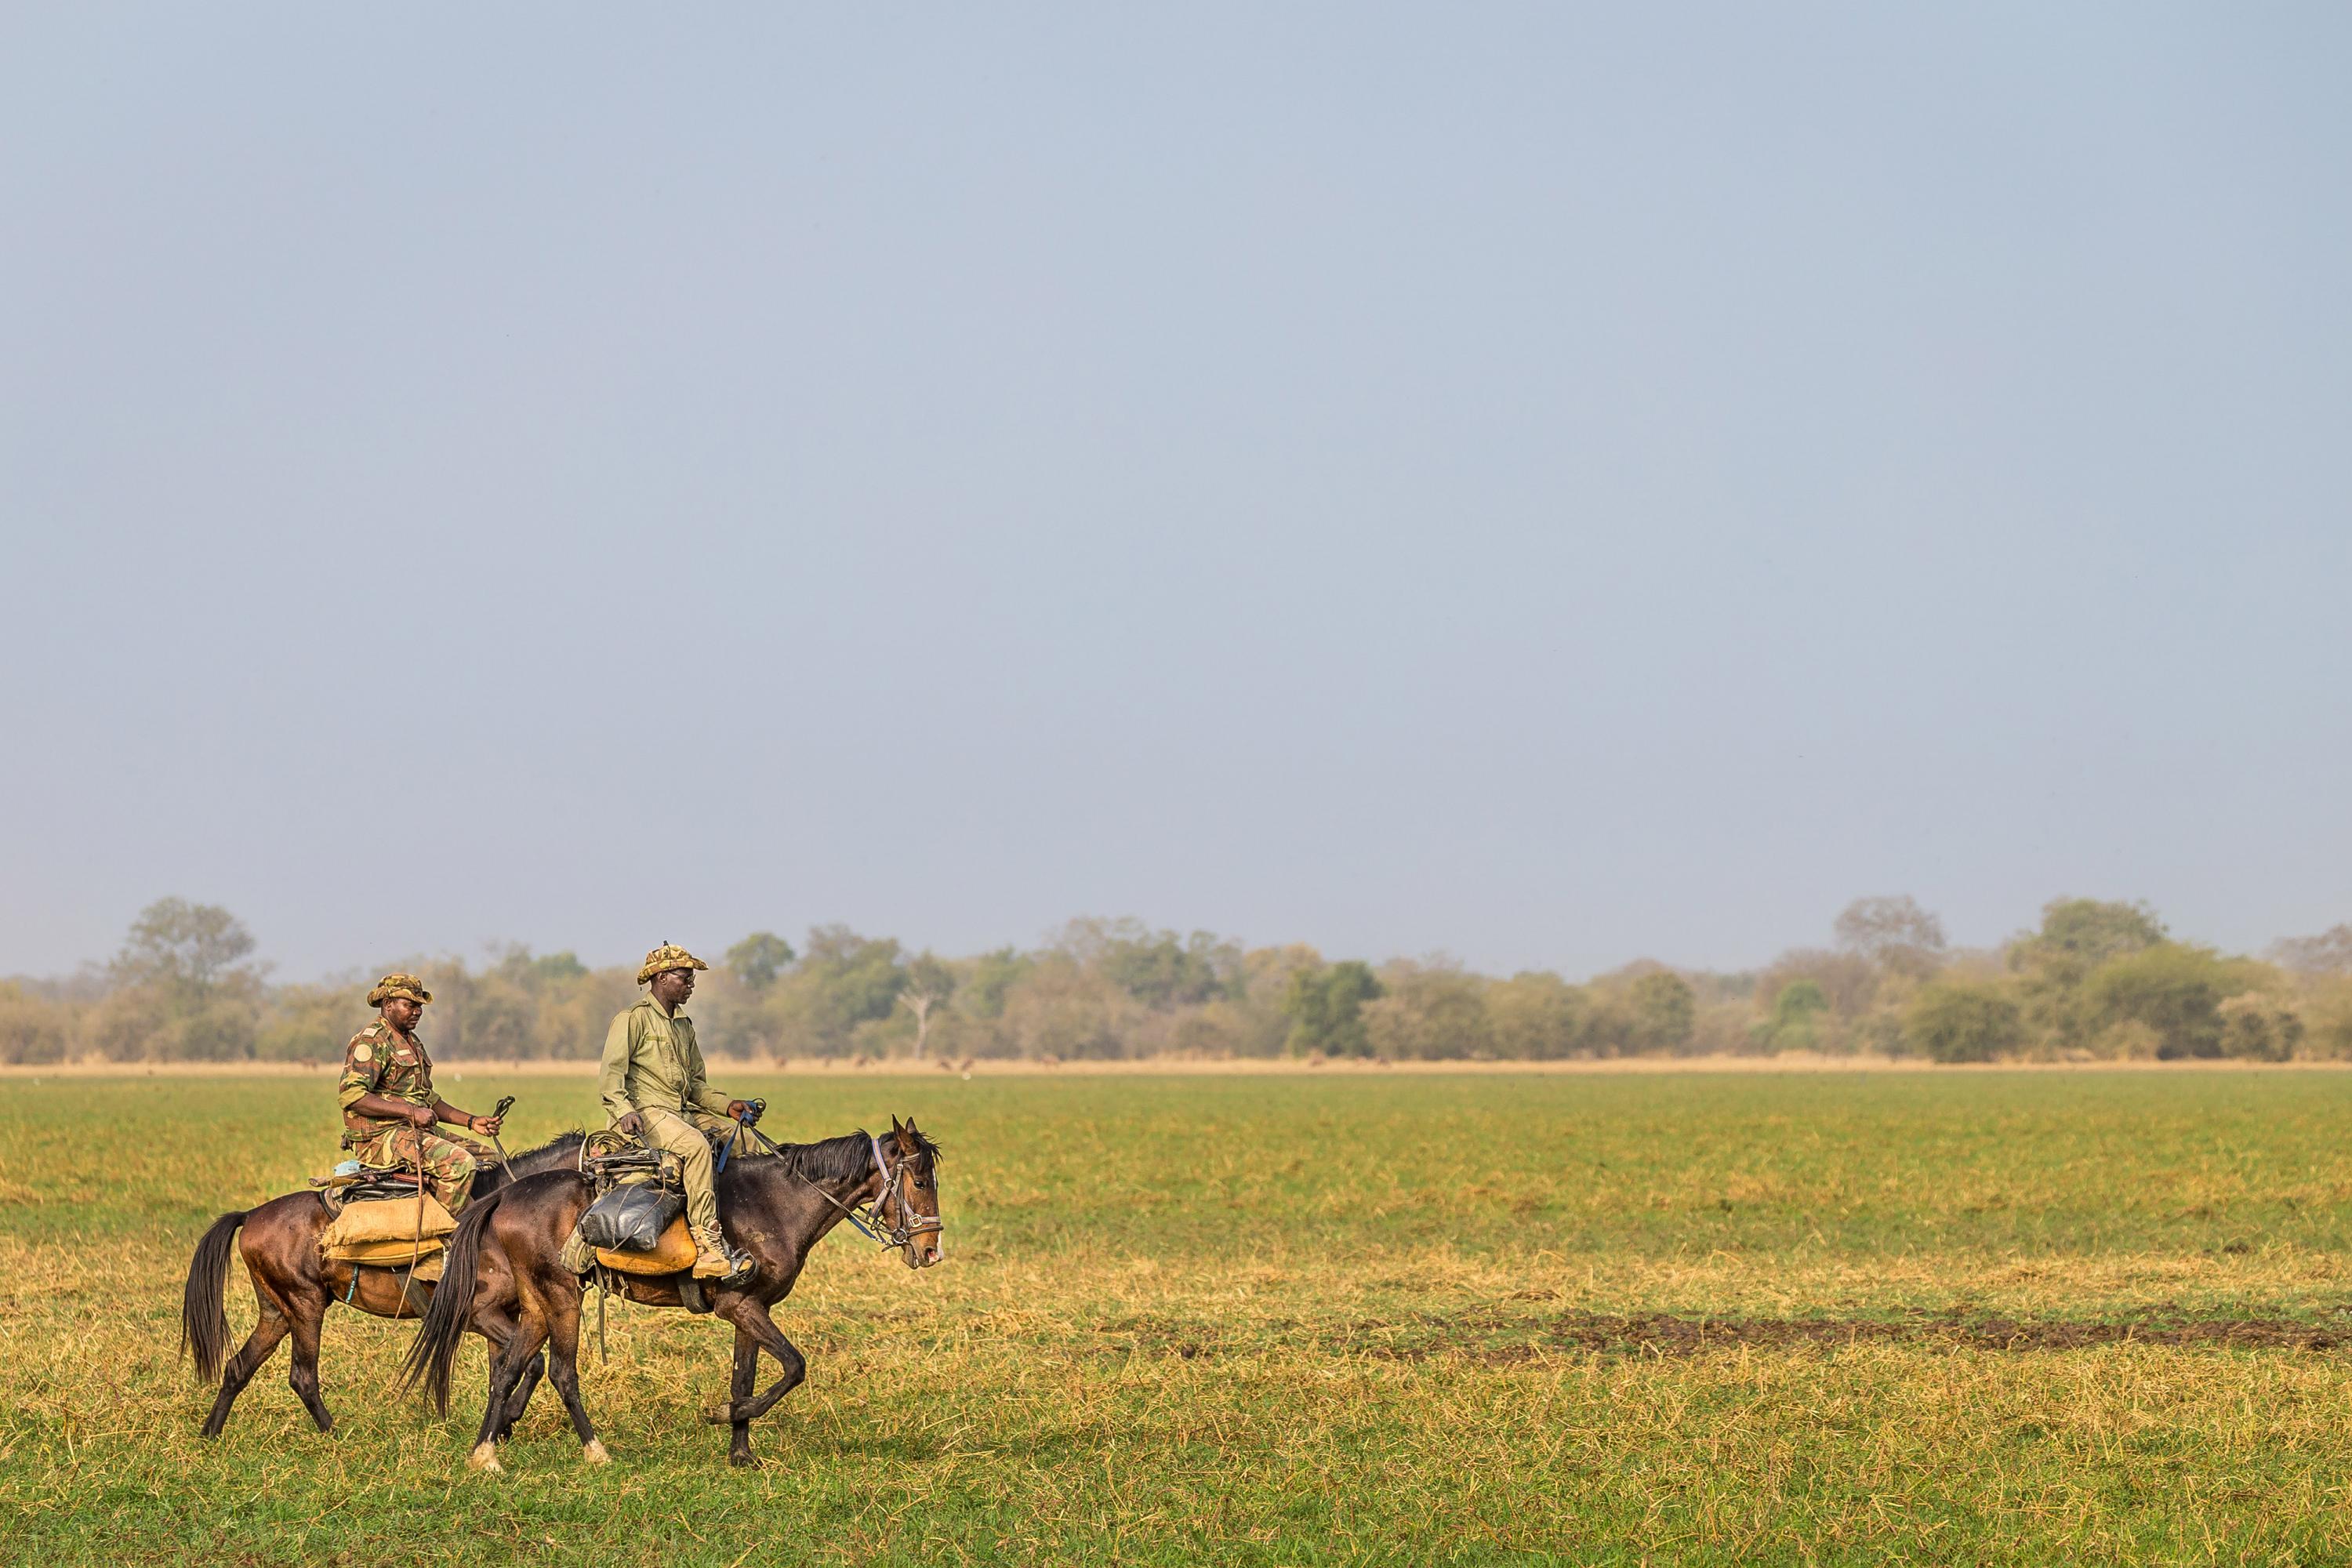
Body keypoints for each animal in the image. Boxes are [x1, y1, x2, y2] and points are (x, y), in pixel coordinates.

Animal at [180, 1133, 588, 1439]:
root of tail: (250, 1216)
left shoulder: (508, 1313)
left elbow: (502, 1370)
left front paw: (499, 1429)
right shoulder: (478, 1314)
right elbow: (532, 1364)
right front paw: (507, 1422)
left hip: (278, 1312)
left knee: (239, 1366)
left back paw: (210, 1434)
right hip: (306, 1307)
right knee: (302, 1376)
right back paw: (334, 1434)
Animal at [409, 1114, 941, 1476]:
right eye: (918, 1181)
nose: (931, 1249)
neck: (778, 1203)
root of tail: (505, 1194)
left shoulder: (752, 1309)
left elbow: (744, 1376)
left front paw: (740, 1453)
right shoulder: (740, 1305)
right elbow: (794, 1366)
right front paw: (721, 1414)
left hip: (537, 1304)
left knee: (511, 1368)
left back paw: (486, 1454)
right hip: (561, 1298)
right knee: (560, 1371)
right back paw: (596, 1452)